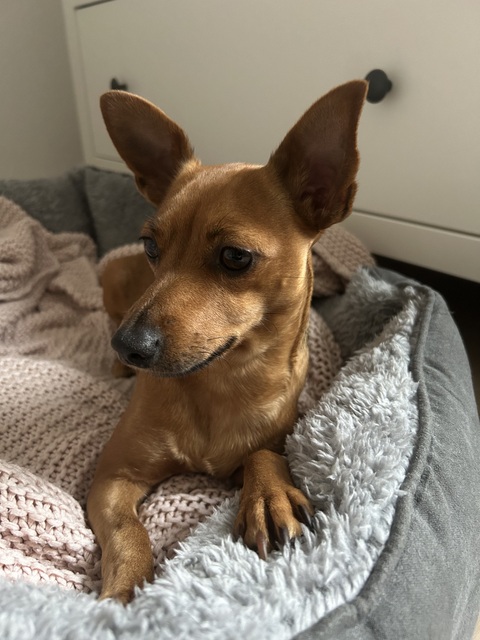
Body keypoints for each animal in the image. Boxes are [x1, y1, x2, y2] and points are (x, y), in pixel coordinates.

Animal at [88, 80, 367, 603]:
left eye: (235, 257)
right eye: (152, 246)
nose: (128, 346)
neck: (219, 382)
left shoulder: (278, 433)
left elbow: (263, 452)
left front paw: (268, 496)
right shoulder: (112, 476)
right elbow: (128, 532)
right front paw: (124, 593)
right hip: (113, 283)